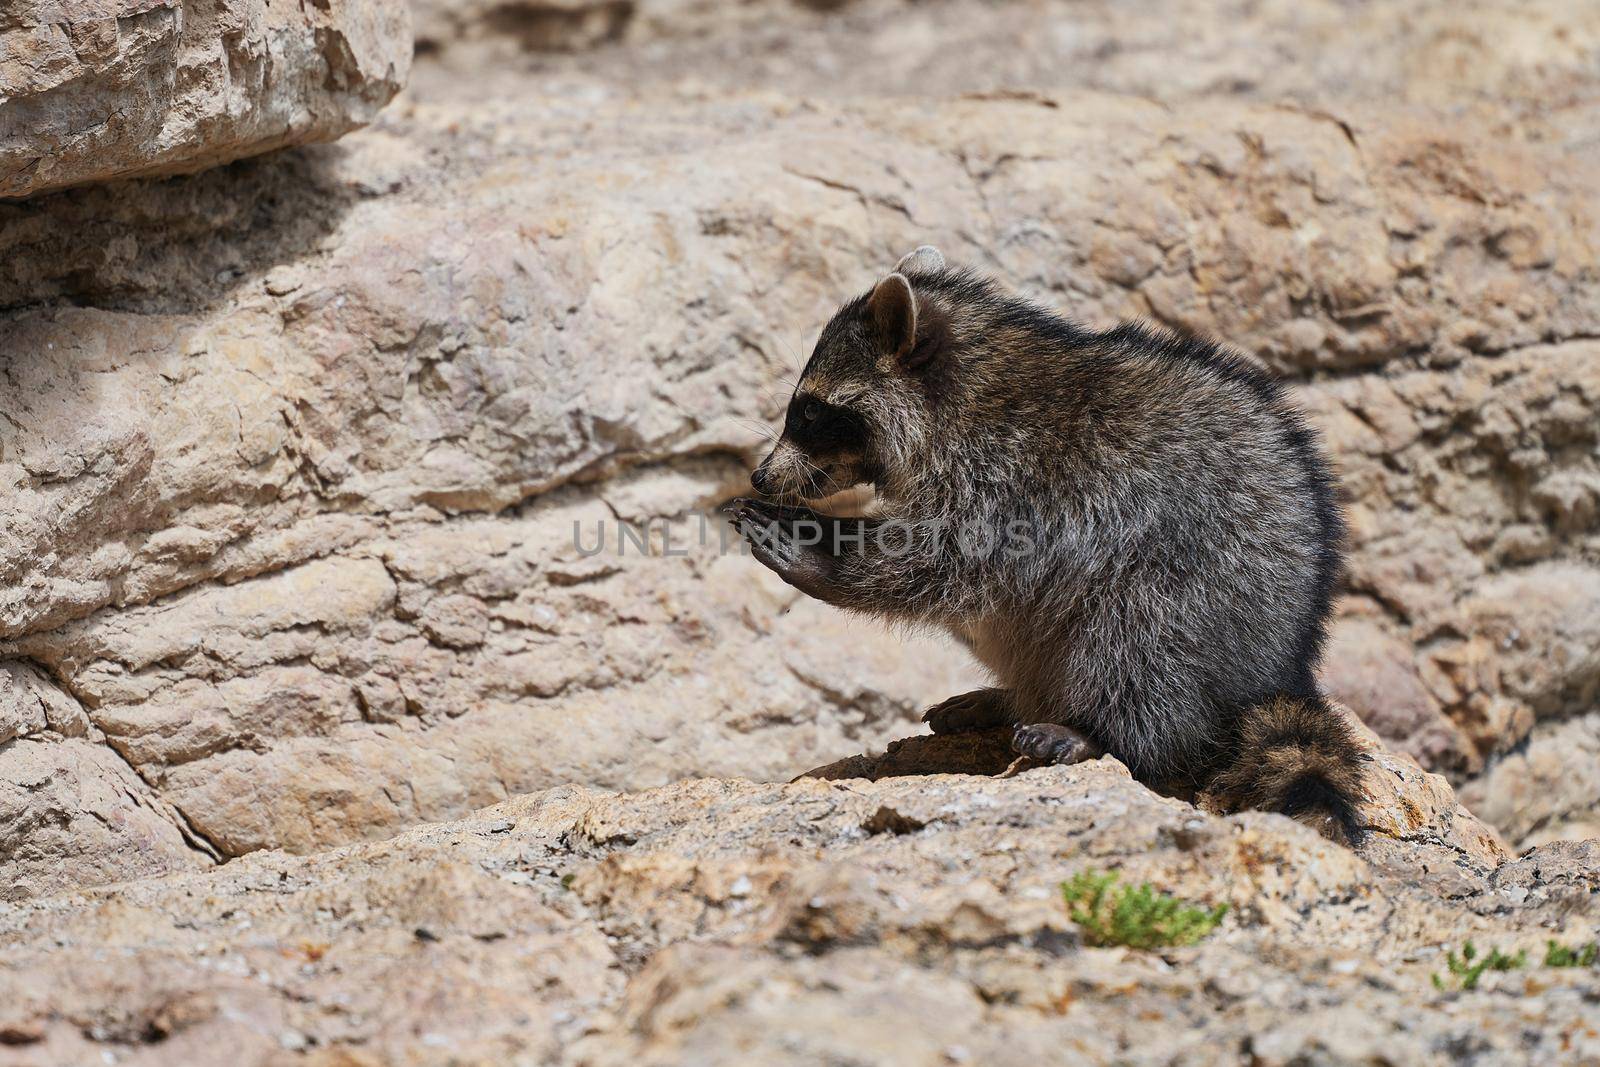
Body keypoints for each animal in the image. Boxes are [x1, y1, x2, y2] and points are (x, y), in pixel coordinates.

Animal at [732, 244, 1369, 844]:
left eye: (809, 411)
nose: (761, 476)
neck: (964, 385)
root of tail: (1279, 668)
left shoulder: (1015, 479)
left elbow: (940, 556)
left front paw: (832, 557)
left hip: (1205, 583)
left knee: (1139, 639)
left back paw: (1099, 730)